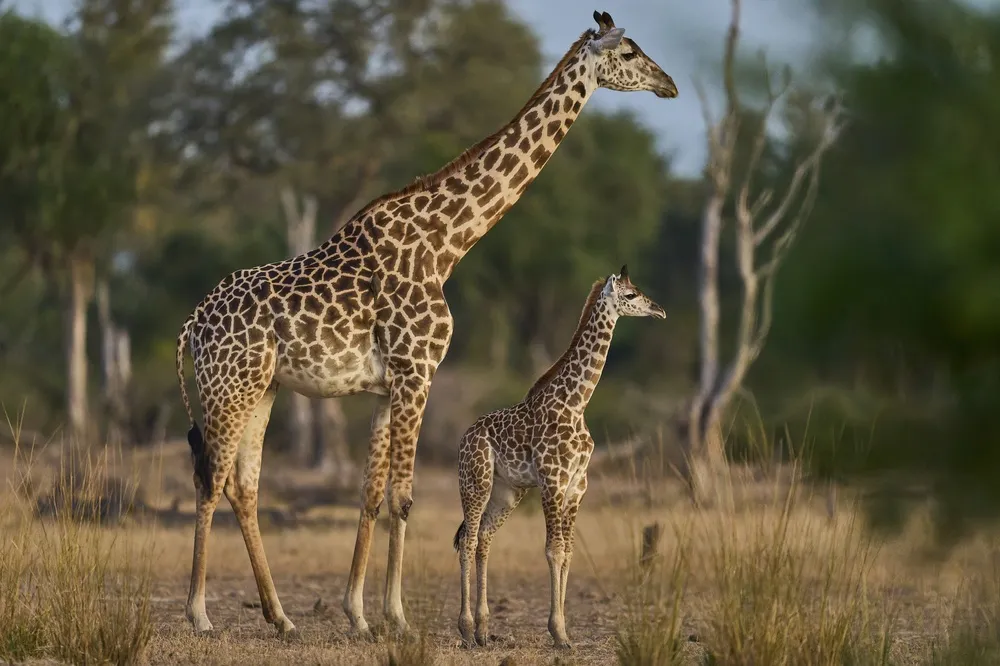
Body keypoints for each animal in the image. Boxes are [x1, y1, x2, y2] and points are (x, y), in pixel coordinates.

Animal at [453, 265, 665, 649]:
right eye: (630, 295)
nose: (659, 310)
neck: (576, 403)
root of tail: (465, 437)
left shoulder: (577, 486)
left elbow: (568, 552)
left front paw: (564, 631)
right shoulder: (553, 480)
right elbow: (553, 550)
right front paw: (558, 632)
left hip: (508, 492)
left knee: (484, 540)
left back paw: (484, 630)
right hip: (475, 482)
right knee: (469, 539)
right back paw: (465, 628)